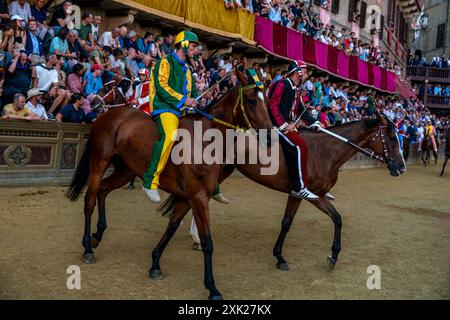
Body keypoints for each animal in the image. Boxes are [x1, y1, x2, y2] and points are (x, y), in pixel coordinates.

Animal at [65, 68, 272, 300]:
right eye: (252, 100)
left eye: (265, 100)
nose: (270, 135)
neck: (204, 140)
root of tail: (107, 116)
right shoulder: (198, 196)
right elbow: (207, 242)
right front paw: (212, 287)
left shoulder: (188, 197)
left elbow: (172, 227)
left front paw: (155, 262)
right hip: (99, 163)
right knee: (89, 200)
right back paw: (87, 248)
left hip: (125, 170)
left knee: (102, 191)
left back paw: (97, 235)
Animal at [160, 110, 406, 276]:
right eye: (391, 137)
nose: (401, 167)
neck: (326, 151)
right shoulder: (307, 193)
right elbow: (313, 220)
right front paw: (328, 256)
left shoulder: (306, 194)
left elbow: (322, 219)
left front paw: (285, 256)